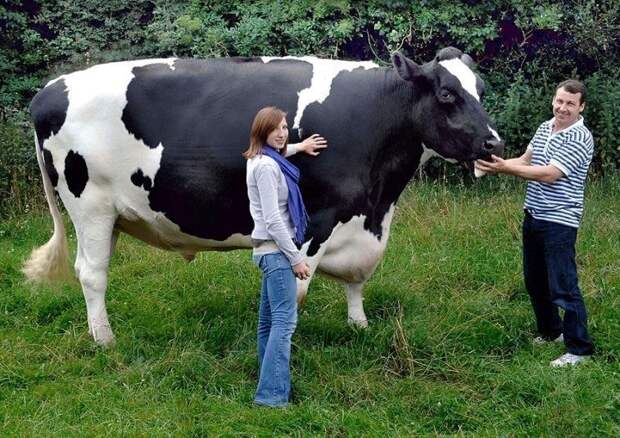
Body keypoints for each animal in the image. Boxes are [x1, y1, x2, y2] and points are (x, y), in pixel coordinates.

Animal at [24, 47, 504, 346]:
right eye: (447, 93)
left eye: (480, 90)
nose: (493, 143)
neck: (379, 199)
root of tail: (50, 88)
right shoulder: (316, 219)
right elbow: (298, 288)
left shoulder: (362, 219)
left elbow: (356, 280)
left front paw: (359, 326)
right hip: (89, 205)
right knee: (92, 273)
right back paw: (105, 339)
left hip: (110, 216)